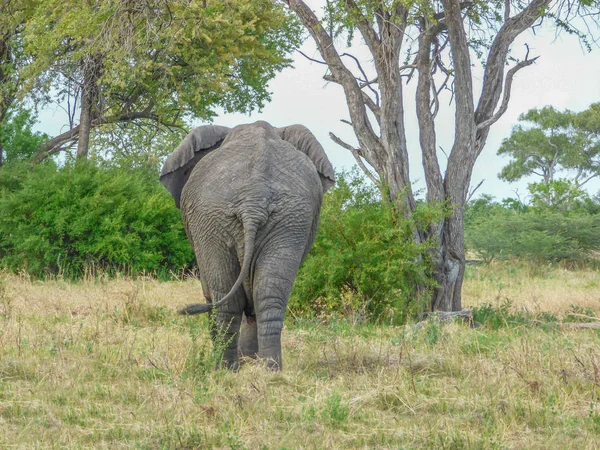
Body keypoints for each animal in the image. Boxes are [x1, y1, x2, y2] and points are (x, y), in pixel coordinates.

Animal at [159, 120, 336, 370]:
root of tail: (254, 200)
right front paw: (250, 360)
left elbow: (211, 292)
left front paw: (245, 360)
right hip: (289, 221)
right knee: (268, 294)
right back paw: (270, 369)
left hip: (212, 221)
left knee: (226, 299)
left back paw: (225, 368)